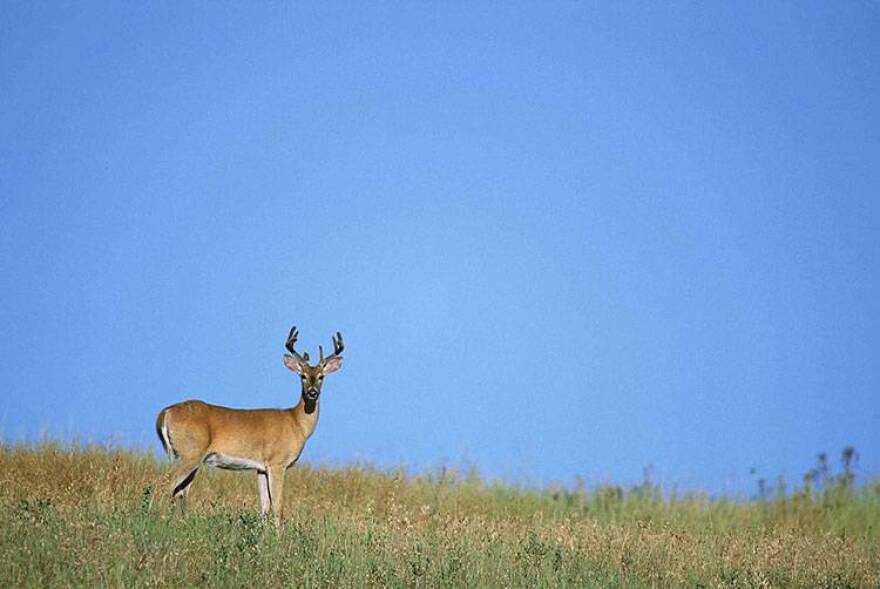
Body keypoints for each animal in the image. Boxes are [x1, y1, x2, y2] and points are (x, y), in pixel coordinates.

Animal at [155, 325, 344, 525]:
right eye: (303, 376)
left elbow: (264, 506)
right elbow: (278, 505)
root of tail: (165, 413)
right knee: (164, 484)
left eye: (321, 377)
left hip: (187, 456)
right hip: (189, 453)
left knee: (180, 491)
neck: (296, 422)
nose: (312, 392)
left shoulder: (260, 467)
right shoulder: (277, 462)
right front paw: (279, 533)